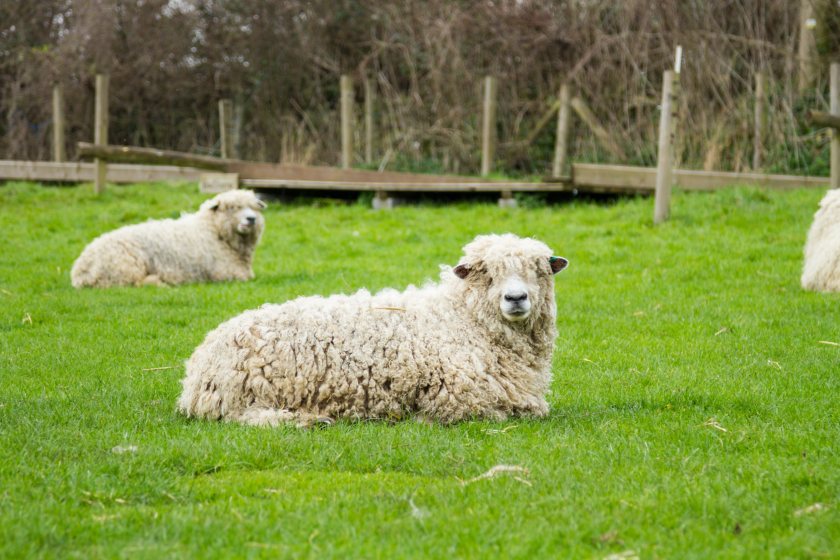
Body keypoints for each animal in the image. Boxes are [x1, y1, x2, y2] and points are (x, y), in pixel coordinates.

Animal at [71, 189, 264, 288]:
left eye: (254, 207)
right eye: (232, 207)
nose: (251, 219)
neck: (213, 230)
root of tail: (80, 269)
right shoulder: (227, 274)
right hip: (125, 269)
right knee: (135, 283)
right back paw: (159, 282)